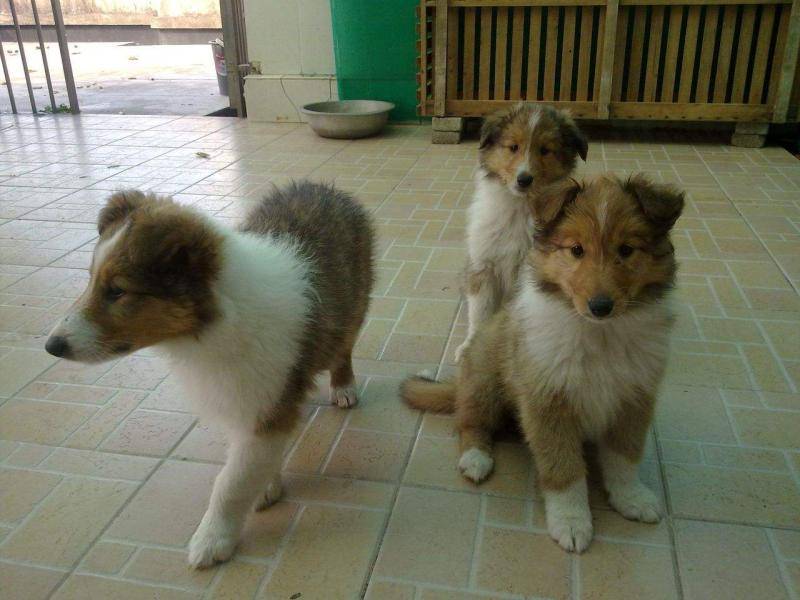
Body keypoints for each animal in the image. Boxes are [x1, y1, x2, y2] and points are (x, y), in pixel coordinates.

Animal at [46, 182, 376, 568]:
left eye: (117, 291)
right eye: (91, 280)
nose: (52, 346)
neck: (213, 323)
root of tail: (323, 187)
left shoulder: (263, 406)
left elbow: (230, 483)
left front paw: (211, 540)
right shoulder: (243, 398)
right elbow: (248, 465)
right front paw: (267, 486)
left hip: (356, 304)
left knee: (343, 347)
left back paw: (344, 387)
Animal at [404, 173, 684, 552]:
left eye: (626, 250)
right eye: (576, 250)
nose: (600, 306)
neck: (599, 334)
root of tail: (460, 383)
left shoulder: (633, 399)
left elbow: (624, 456)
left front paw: (632, 498)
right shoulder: (549, 402)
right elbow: (564, 468)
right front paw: (571, 522)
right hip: (485, 382)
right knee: (469, 422)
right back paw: (476, 459)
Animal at [456, 102, 588, 360]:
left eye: (545, 150)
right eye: (513, 147)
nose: (524, 179)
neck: (519, 208)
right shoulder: (483, 267)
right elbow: (480, 313)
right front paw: (470, 348)